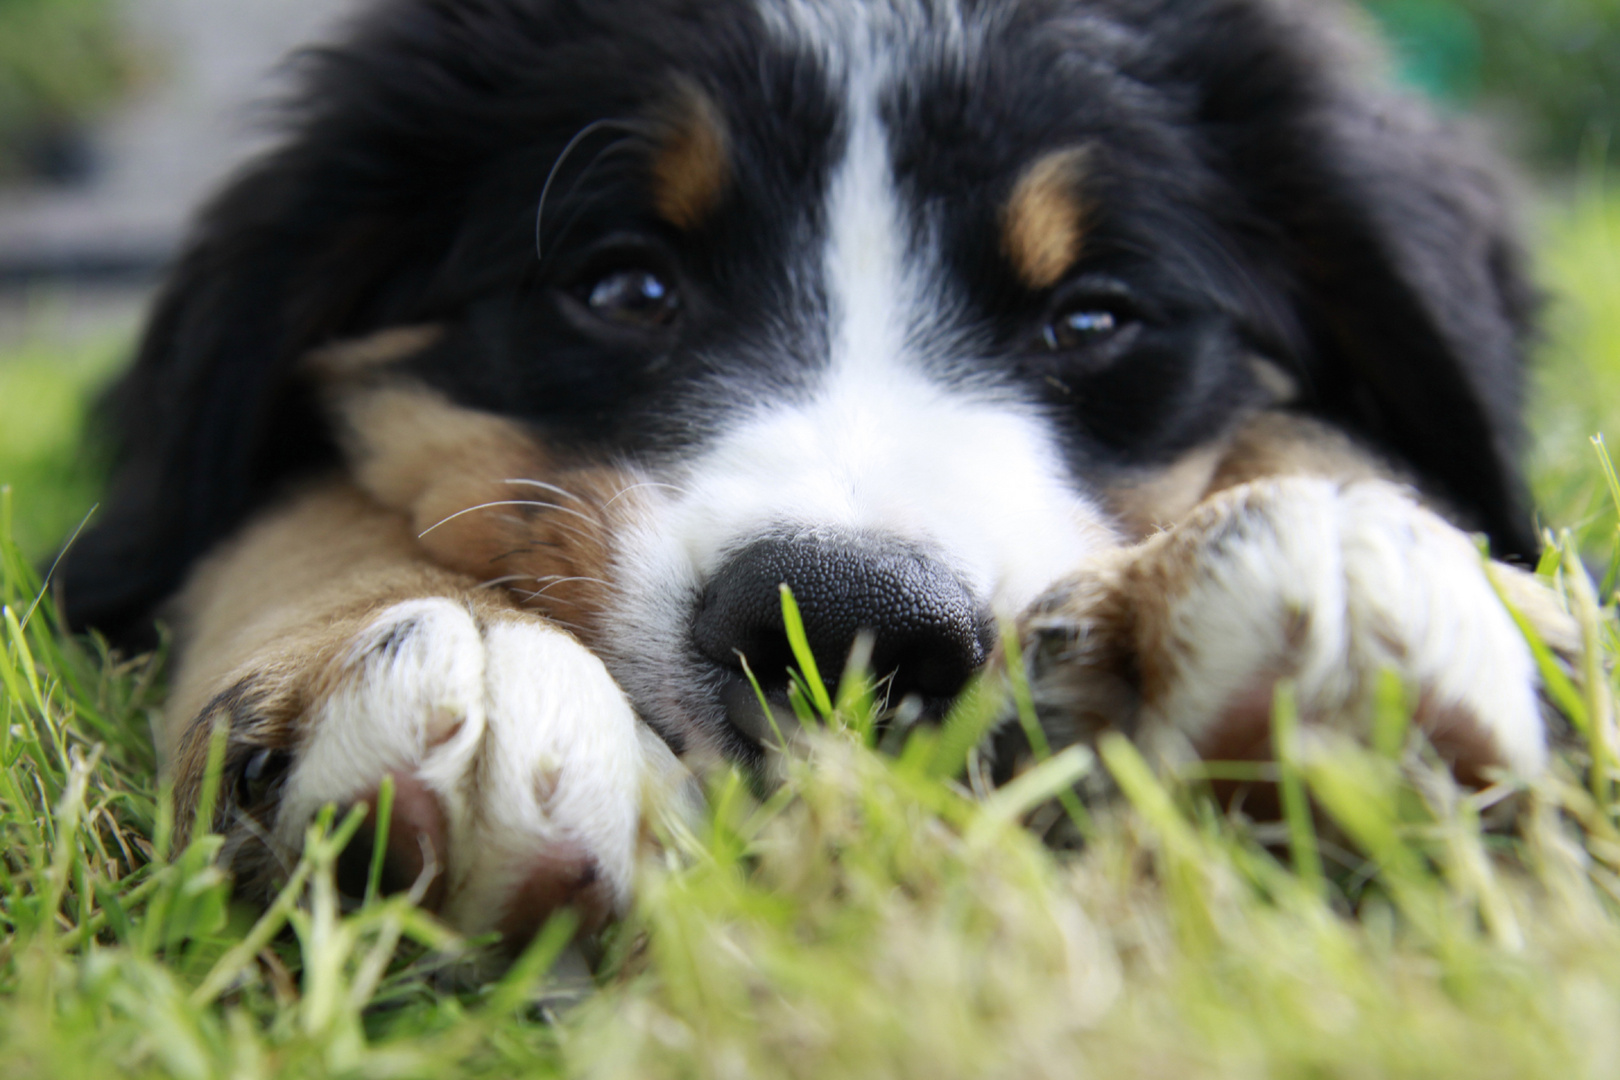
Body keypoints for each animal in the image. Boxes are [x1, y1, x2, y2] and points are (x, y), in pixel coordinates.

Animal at [59, 0, 1568, 945]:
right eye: (625, 285)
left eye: (1091, 317)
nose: (844, 620)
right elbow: (285, 507)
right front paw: (449, 662)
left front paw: (1338, 553)